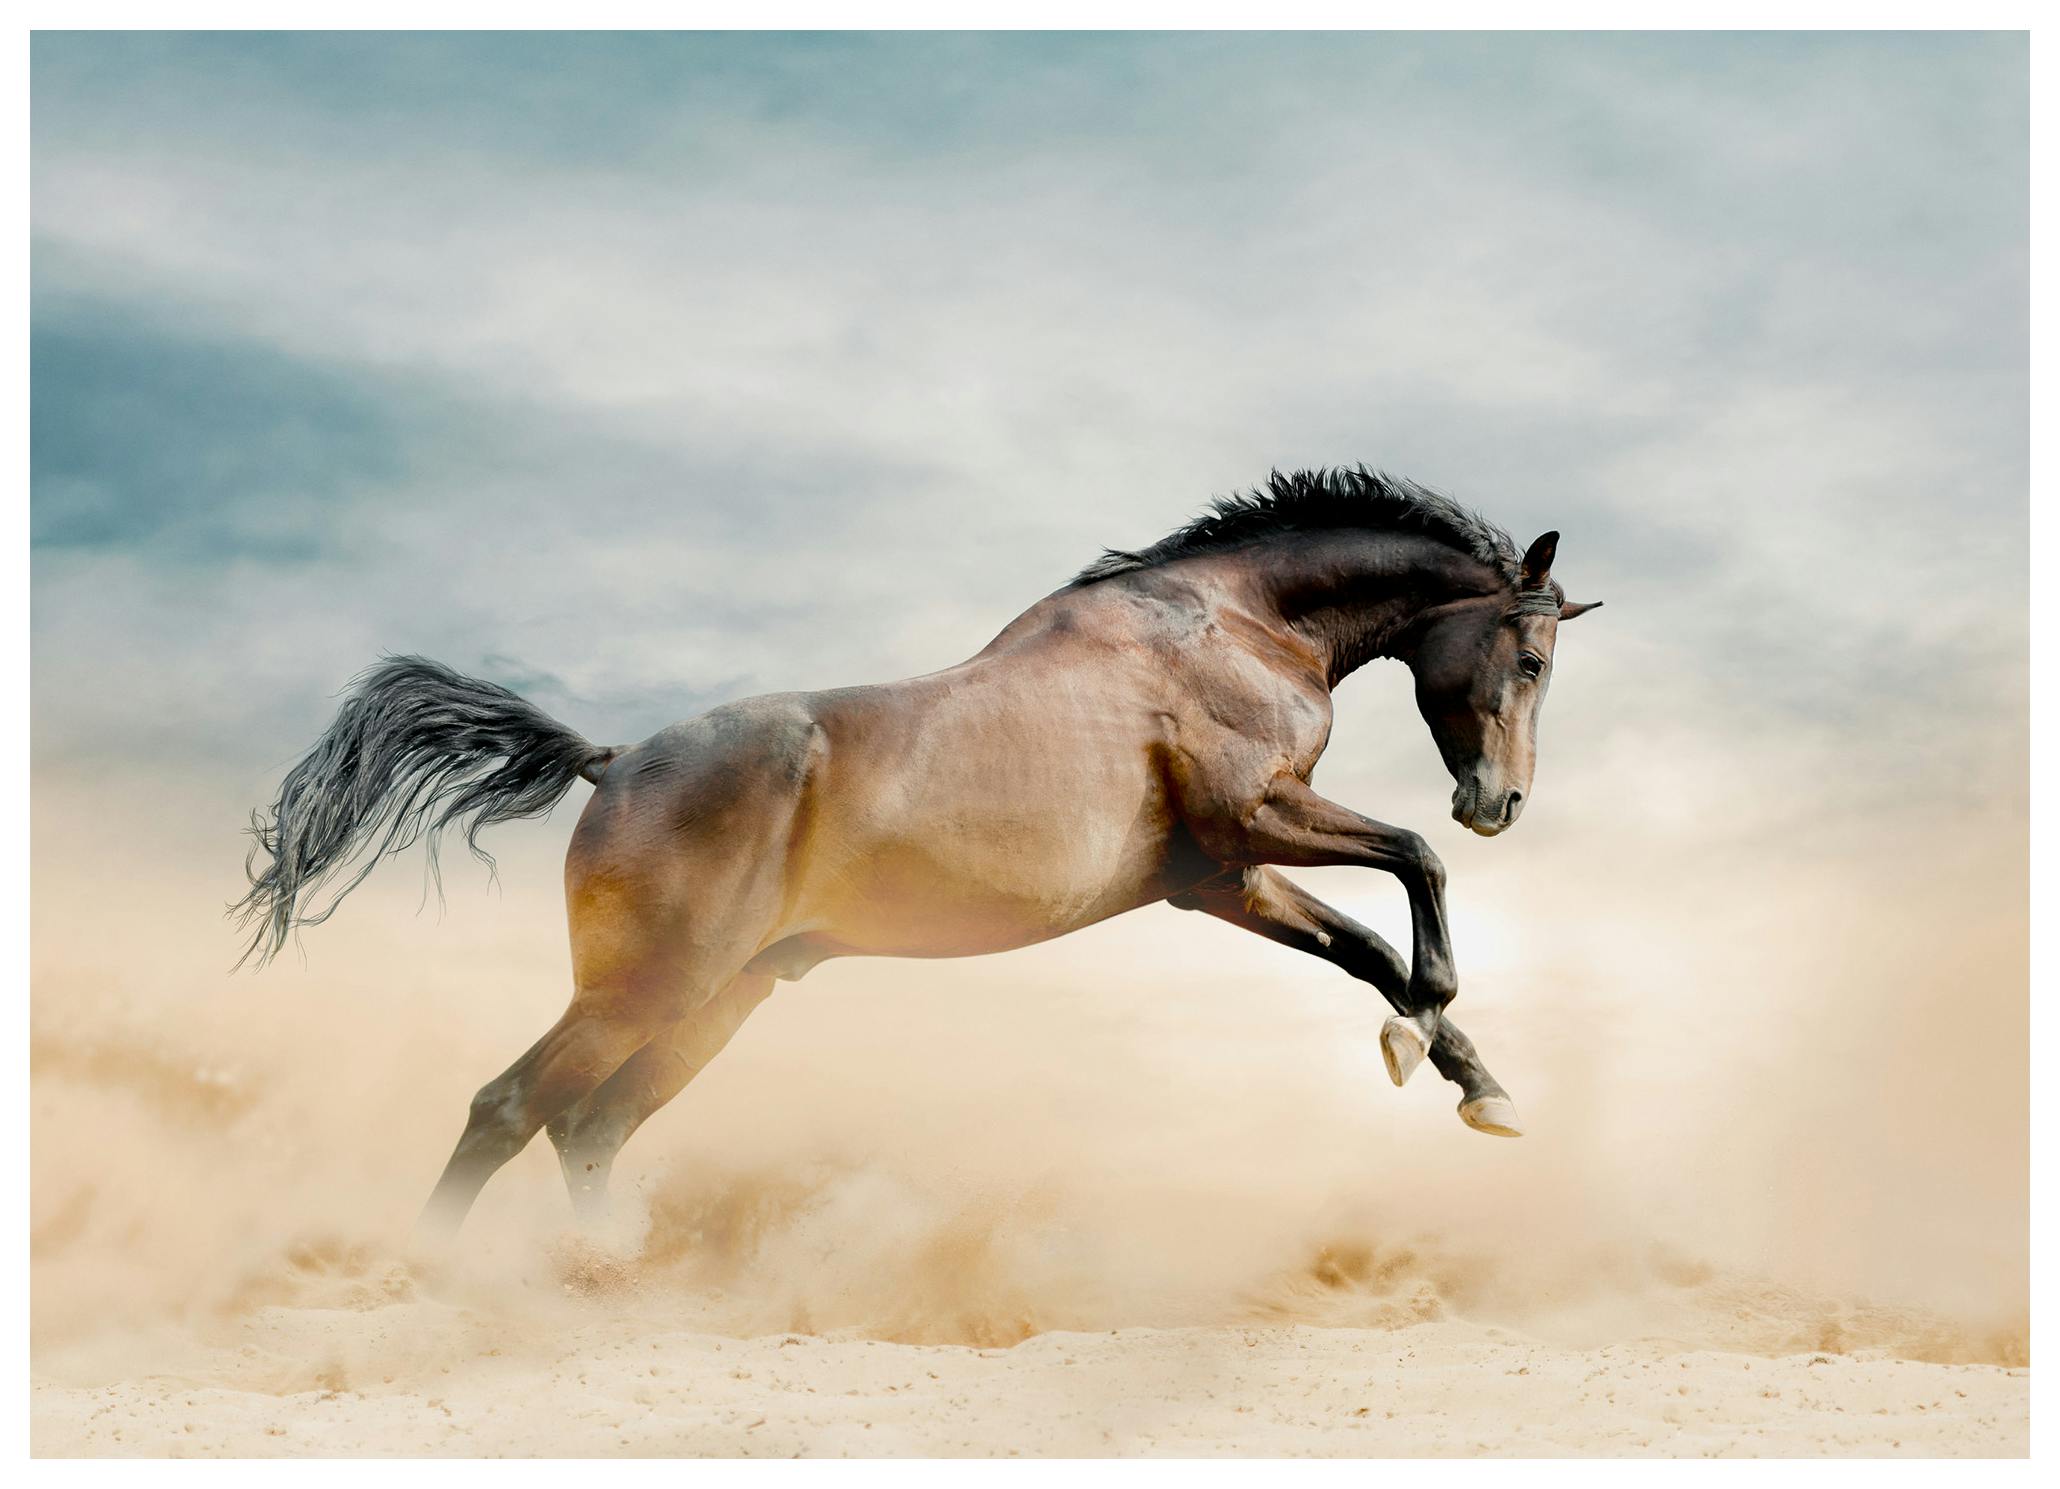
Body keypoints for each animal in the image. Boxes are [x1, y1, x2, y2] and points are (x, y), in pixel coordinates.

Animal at [234, 467, 1601, 1240]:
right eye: (1529, 657)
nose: (1499, 801)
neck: (1233, 622)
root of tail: (612, 762)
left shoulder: (1213, 878)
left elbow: (1368, 943)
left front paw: (1472, 1083)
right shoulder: (1249, 822)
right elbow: (1413, 869)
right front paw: (1427, 1038)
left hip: (719, 998)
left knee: (593, 1128)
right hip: (648, 986)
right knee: (511, 1106)